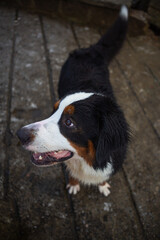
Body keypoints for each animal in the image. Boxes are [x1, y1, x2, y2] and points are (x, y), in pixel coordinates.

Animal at [16, 6, 130, 197]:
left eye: (69, 122)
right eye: (54, 110)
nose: (20, 134)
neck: (89, 162)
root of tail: (90, 49)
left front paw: (103, 185)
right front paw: (74, 184)